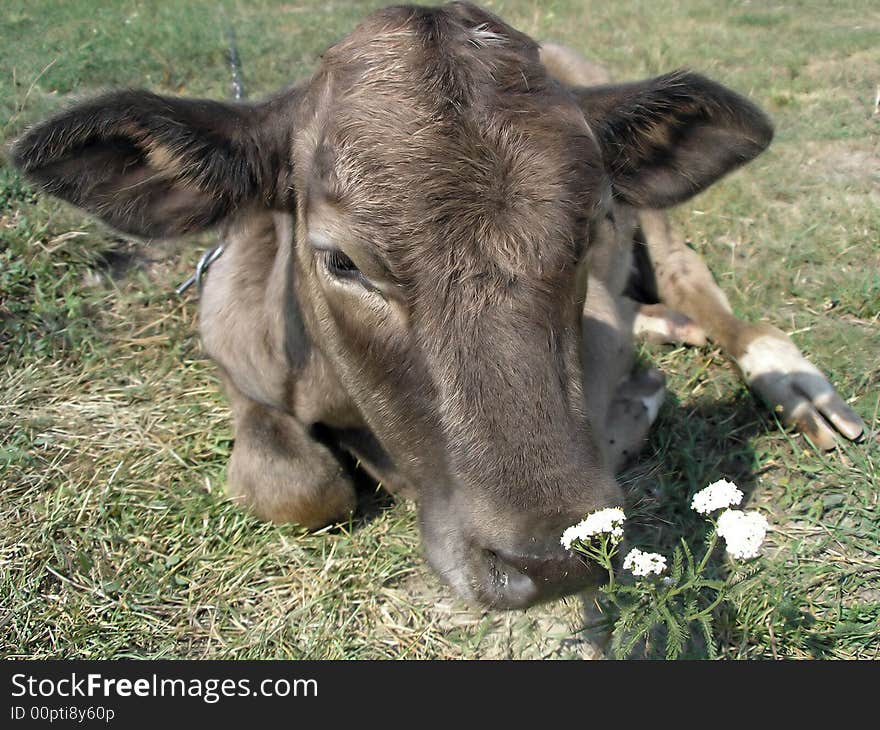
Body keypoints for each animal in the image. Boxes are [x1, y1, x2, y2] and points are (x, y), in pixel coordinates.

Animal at [10, 2, 864, 604]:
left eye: (590, 227)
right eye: (340, 260)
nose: (547, 562)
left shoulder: (604, 329)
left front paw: (640, 402)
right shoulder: (229, 352)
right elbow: (295, 486)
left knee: (696, 282)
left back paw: (790, 379)